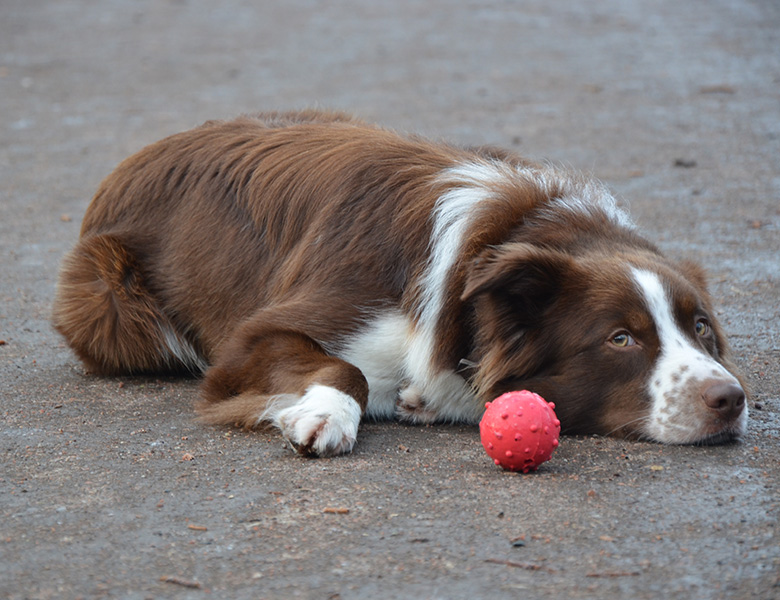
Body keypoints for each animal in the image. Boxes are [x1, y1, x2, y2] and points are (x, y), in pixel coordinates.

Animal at [51, 110, 748, 454]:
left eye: (702, 328)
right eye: (620, 339)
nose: (731, 399)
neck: (504, 236)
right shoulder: (257, 336)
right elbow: (342, 367)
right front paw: (323, 416)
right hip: (116, 306)